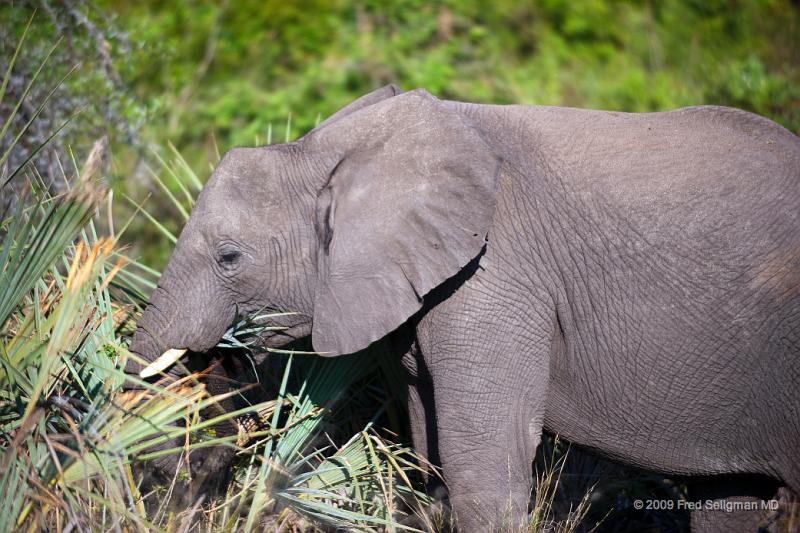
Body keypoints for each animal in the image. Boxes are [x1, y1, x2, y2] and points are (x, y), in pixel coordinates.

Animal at [128, 85, 796, 528]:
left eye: (229, 257)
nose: (178, 473)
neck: (331, 149)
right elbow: (431, 460)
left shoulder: (496, 275)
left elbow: (483, 466)